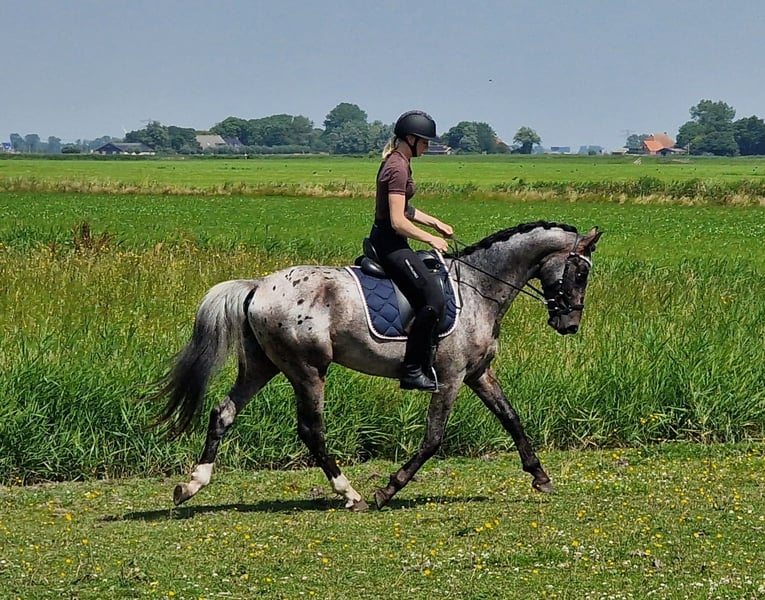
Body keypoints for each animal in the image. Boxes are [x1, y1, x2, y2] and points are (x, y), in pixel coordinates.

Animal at [153, 221, 602, 511]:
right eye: (579, 273)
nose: (570, 324)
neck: (481, 287)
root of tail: (258, 286)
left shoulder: (477, 374)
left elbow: (511, 418)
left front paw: (540, 476)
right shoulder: (451, 377)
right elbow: (433, 438)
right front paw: (390, 489)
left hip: (263, 367)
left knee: (223, 413)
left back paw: (191, 486)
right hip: (307, 370)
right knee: (311, 430)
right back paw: (350, 494)